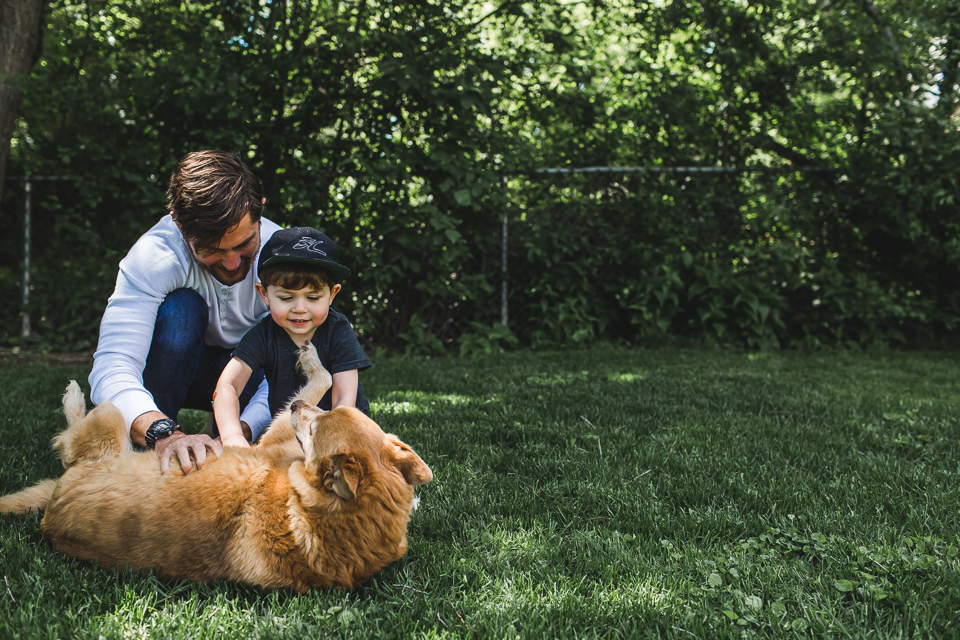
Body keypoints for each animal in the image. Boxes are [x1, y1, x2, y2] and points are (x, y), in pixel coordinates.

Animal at [0, 344, 432, 592]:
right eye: (330, 414)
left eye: (315, 428)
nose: (296, 407)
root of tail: (52, 510)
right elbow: (322, 381)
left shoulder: (275, 437)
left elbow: (321, 378)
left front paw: (310, 359)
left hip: (107, 424)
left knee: (70, 435)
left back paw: (73, 394)